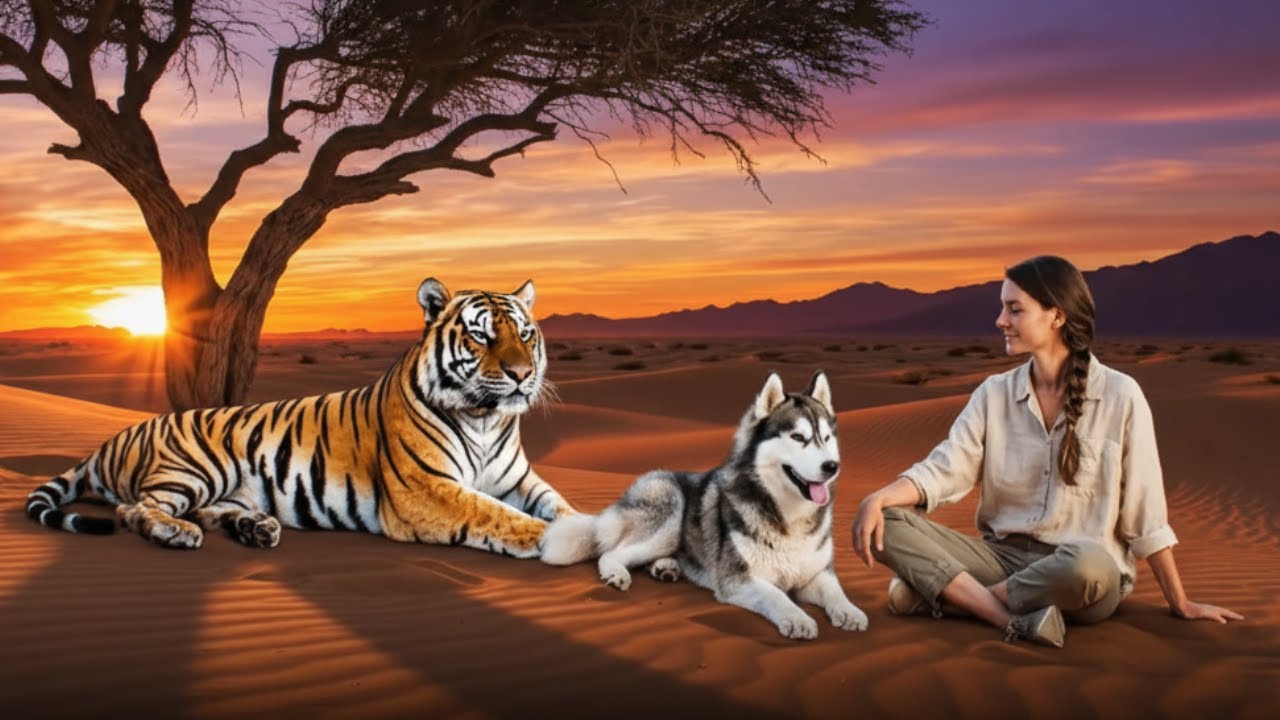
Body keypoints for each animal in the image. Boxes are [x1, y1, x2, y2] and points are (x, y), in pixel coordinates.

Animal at [25, 278, 576, 557]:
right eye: (481, 336)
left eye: (526, 334)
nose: (522, 374)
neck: (485, 419)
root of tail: (114, 437)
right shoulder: (426, 489)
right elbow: (493, 513)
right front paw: (549, 540)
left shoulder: (520, 481)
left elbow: (560, 507)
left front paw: (583, 529)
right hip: (194, 468)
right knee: (134, 508)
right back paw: (175, 534)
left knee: (205, 511)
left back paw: (256, 529)